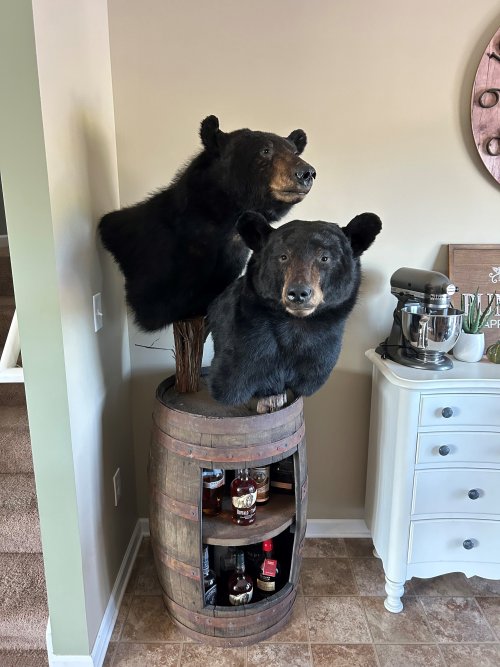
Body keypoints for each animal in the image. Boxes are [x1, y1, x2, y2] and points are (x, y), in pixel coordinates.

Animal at [207, 211, 382, 405]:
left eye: (325, 258)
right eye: (283, 257)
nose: (298, 292)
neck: (295, 325)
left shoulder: (322, 352)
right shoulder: (246, 343)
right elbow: (233, 380)